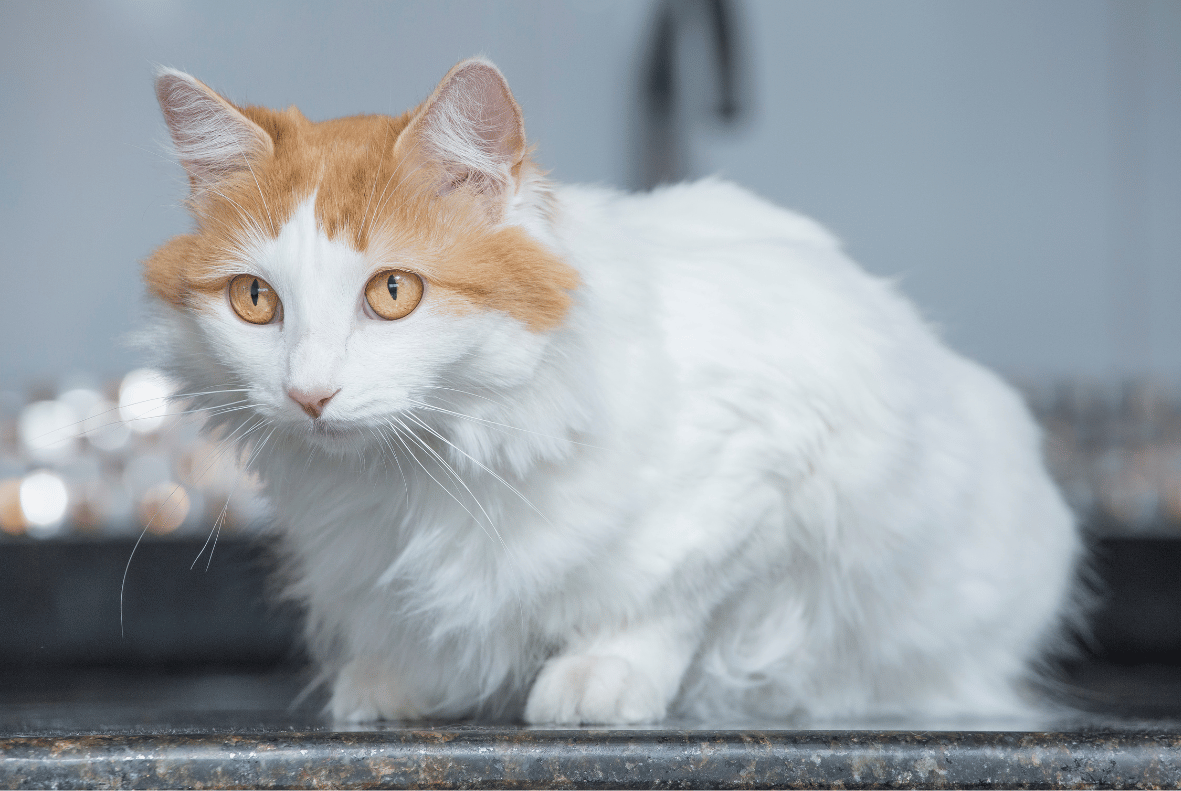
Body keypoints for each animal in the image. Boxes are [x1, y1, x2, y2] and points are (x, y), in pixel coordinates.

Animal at [145, 55, 1081, 727]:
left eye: (392, 292)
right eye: (255, 300)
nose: (309, 394)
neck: (426, 470)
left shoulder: (768, 464)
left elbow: (665, 598)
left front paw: (598, 676)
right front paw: (402, 678)